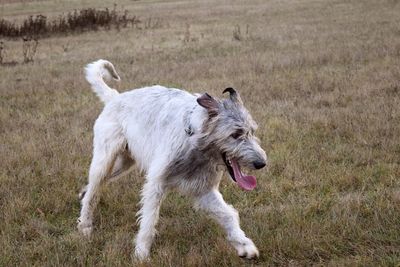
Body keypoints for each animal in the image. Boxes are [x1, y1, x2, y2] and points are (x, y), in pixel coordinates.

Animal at [76, 59, 268, 260]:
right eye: (236, 134)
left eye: (252, 131)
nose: (261, 163)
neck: (193, 139)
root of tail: (115, 98)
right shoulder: (155, 185)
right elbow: (149, 221)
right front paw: (141, 254)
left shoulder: (204, 190)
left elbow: (228, 215)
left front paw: (244, 245)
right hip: (104, 161)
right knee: (94, 191)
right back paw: (85, 225)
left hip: (123, 164)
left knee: (93, 187)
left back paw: (83, 198)